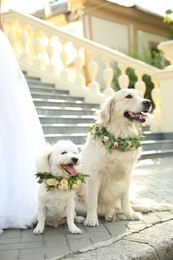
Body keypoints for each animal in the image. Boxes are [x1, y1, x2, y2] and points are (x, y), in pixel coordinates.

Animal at [75, 88, 153, 226]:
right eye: (128, 96)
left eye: (140, 95)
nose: (148, 102)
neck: (118, 138)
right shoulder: (94, 175)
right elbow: (93, 200)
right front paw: (91, 219)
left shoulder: (127, 174)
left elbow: (125, 199)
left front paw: (130, 214)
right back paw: (107, 215)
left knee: (121, 206)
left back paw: (142, 207)